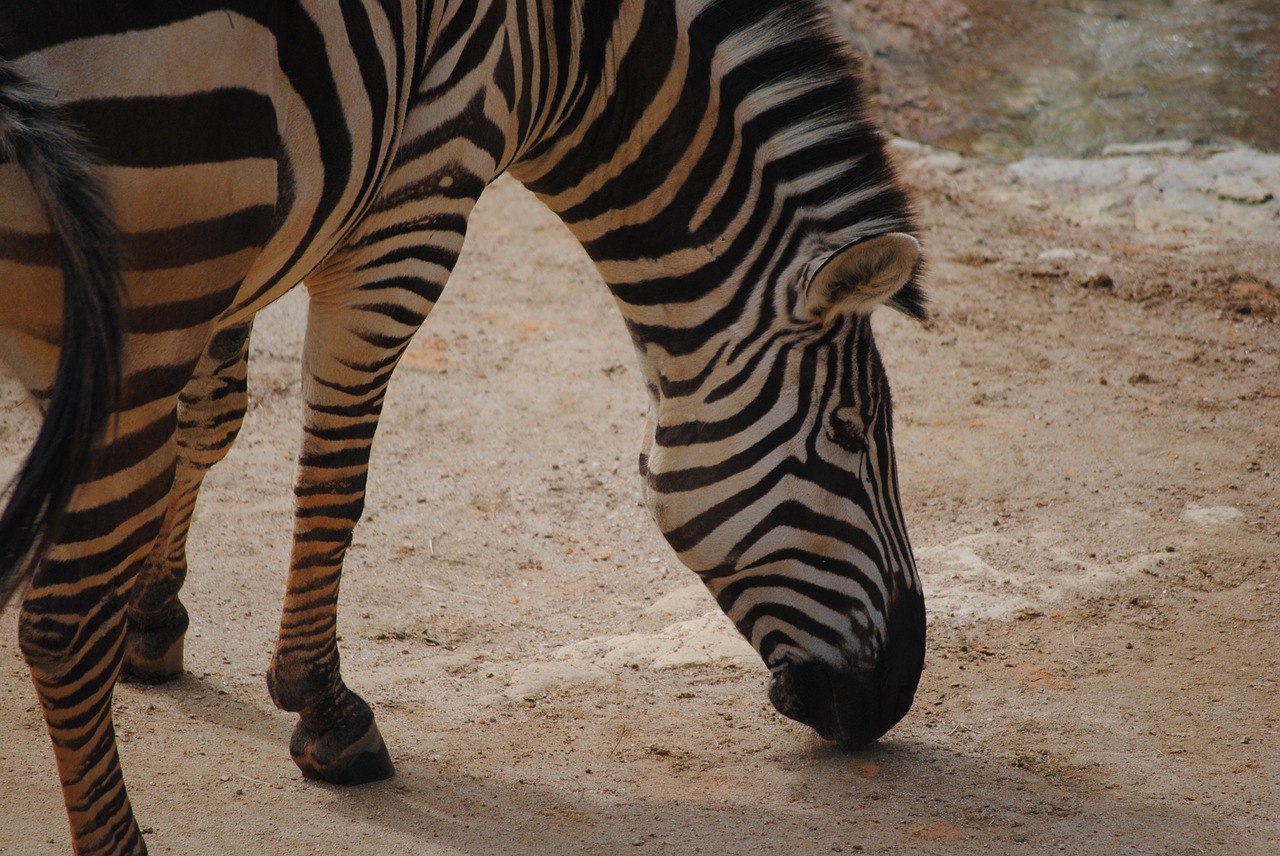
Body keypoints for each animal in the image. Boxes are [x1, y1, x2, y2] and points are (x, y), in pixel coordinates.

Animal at [0, 3, 926, 849]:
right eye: (849, 434)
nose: (898, 689)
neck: (567, 44)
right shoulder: (411, 209)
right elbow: (337, 485)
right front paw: (324, 709)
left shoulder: (244, 234)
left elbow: (212, 418)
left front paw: (153, 620)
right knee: (58, 623)